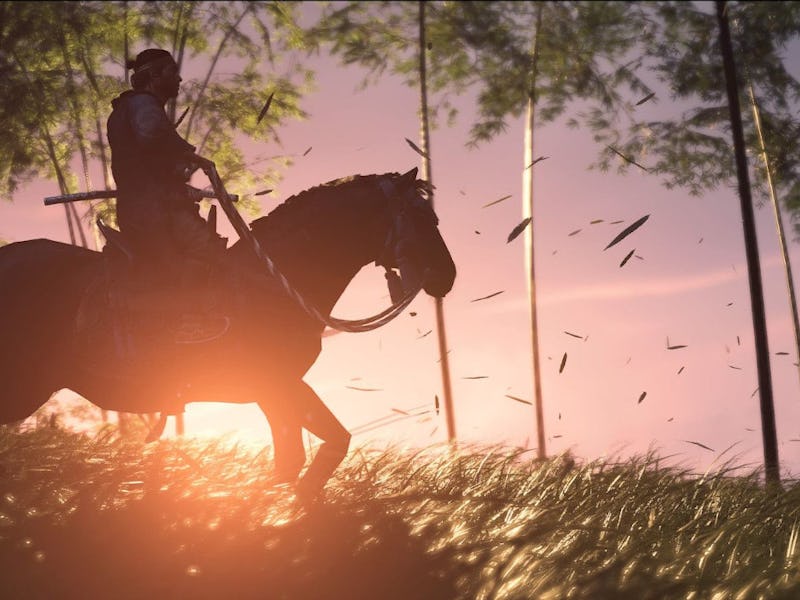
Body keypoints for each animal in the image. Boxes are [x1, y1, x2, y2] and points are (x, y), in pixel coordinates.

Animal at [0, 168, 456, 498]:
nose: (446, 276)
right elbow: (317, 450)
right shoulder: (277, 383)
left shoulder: (276, 390)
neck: (273, 277)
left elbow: (300, 456)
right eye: (422, 217)